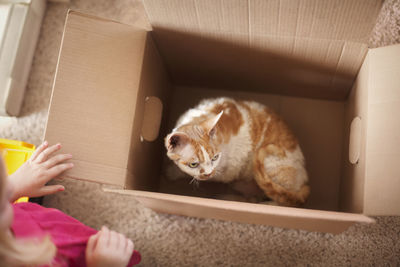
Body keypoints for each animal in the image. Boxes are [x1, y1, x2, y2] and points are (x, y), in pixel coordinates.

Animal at [164, 98, 310, 207]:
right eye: (193, 164)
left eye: (215, 158)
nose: (208, 173)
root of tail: (304, 184)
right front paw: (174, 170)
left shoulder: (229, 169)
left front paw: (173, 172)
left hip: (272, 164)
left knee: (281, 201)